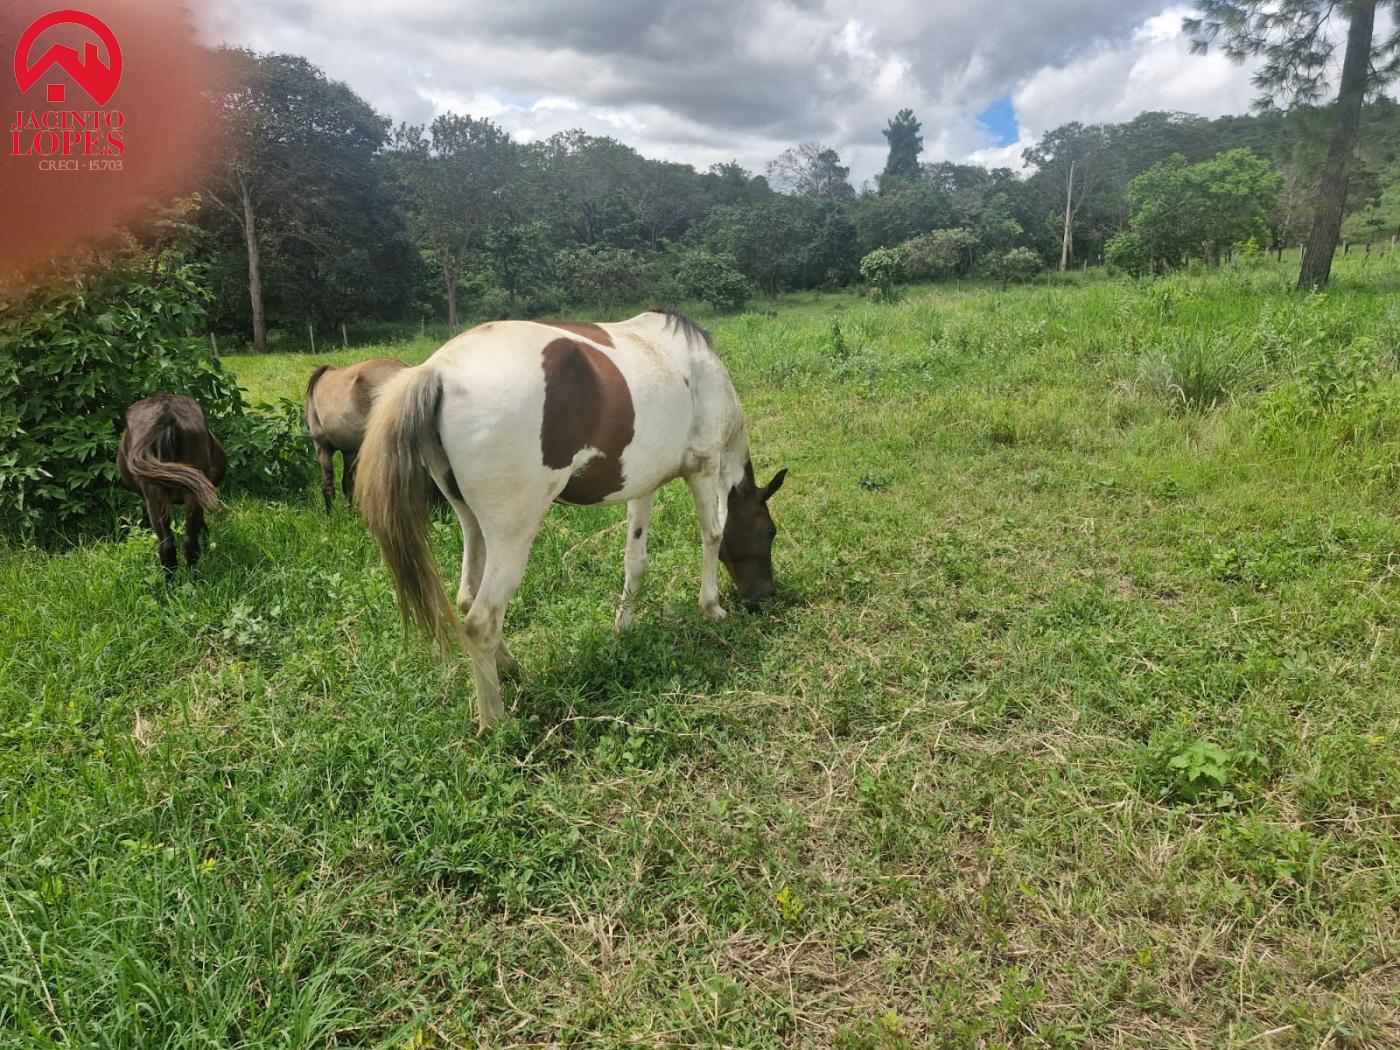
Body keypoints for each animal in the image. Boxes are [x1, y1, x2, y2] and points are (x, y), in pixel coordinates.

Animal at [305, 358, 408, 515]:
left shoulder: (321, 446)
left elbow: (328, 484)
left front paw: (330, 514)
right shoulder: (349, 451)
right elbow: (347, 484)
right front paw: (350, 513)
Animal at [355, 308, 784, 733]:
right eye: (769, 531)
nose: (764, 595)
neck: (698, 367)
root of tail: (439, 371)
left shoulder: (643, 484)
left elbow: (636, 559)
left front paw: (624, 626)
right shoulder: (704, 467)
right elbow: (713, 535)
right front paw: (711, 607)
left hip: (472, 523)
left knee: (467, 597)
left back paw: (508, 667)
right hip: (512, 536)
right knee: (482, 619)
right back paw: (495, 722)